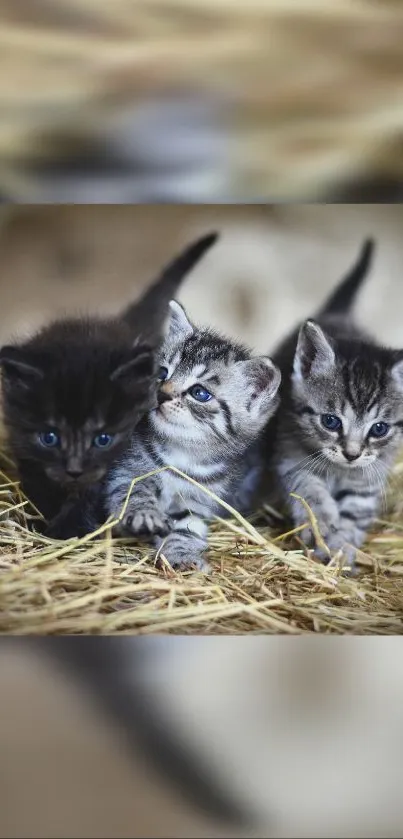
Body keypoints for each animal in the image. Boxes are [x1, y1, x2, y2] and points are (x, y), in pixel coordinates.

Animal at [0, 231, 218, 540]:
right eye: (49, 437)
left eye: (103, 439)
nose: (75, 470)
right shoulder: (25, 449)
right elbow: (40, 484)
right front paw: (45, 520)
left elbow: (93, 493)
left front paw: (67, 530)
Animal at [104, 300, 280, 572]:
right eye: (162, 373)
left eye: (199, 393)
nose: (162, 394)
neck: (182, 455)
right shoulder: (125, 470)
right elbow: (134, 491)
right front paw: (144, 513)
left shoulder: (198, 501)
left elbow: (187, 529)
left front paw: (182, 555)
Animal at [266, 236, 403, 568]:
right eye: (330, 421)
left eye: (379, 429)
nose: (352, 454)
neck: (341, 471)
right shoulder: (289, 456)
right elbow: (309, 491)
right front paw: (322, 526)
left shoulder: (368, 479)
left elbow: (354, 514)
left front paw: (343, 547)